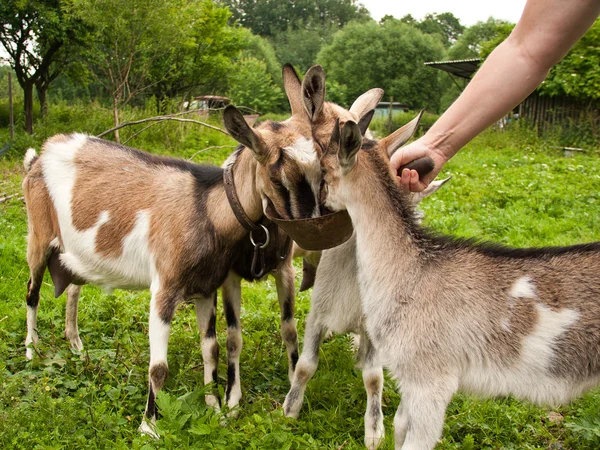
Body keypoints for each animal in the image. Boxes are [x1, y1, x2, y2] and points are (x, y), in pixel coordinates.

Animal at [286, 111, 450, 446]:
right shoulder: (318, 313)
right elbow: (306, 367)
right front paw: (289, 411)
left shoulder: (373, 324)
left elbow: (374, 378)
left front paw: (374, 431)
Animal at [324, 119, 600, 450]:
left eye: (323, 170)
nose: (320, 204)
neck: (412, 272)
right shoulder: (410, 380)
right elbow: (399, 427)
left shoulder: (432, 379)